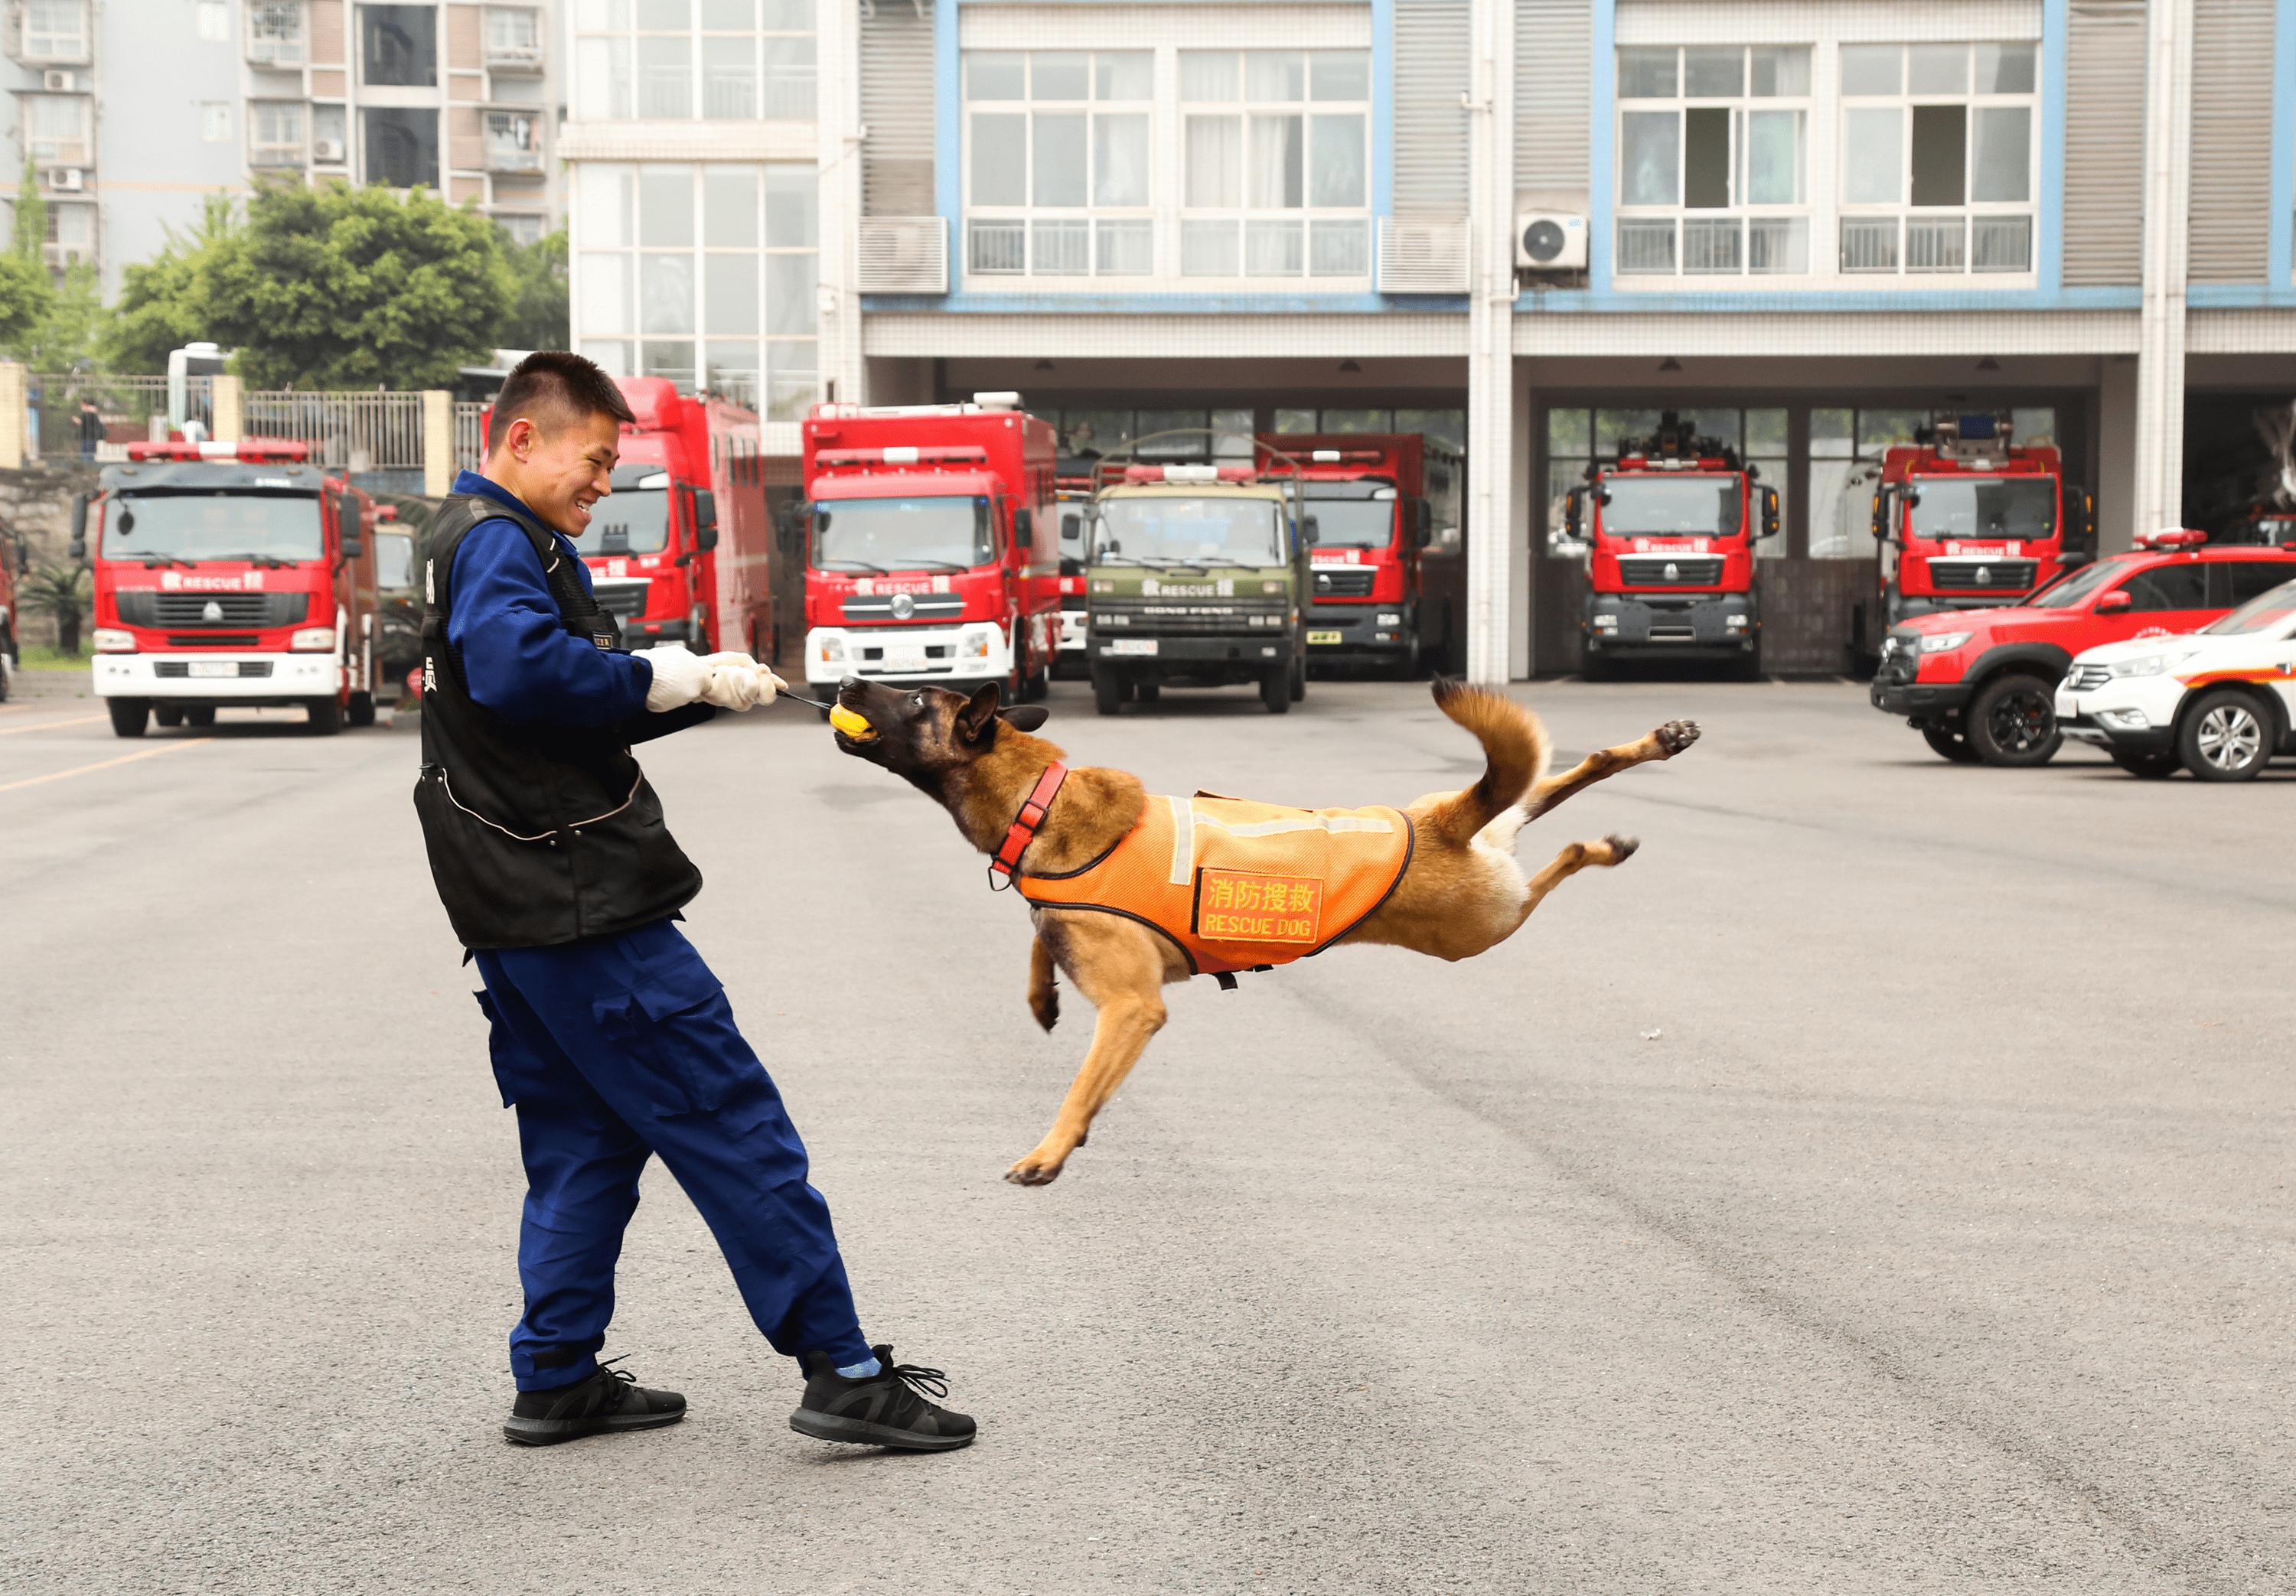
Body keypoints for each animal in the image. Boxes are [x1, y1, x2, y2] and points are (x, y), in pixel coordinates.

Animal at [836, 675, 1699, 1184]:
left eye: (916, 702)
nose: (844, 679)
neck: (1038, 798)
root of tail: (1446, 826)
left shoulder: (1131, 1009)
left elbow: (1081, 1085)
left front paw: (1051, 1150)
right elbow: (1037, 938)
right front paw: (1041, 995)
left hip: (1479, 926)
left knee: (1558, 852)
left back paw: (1604, 844)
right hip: (1481, 844)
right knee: (1558, 777)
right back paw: (1652, 749)